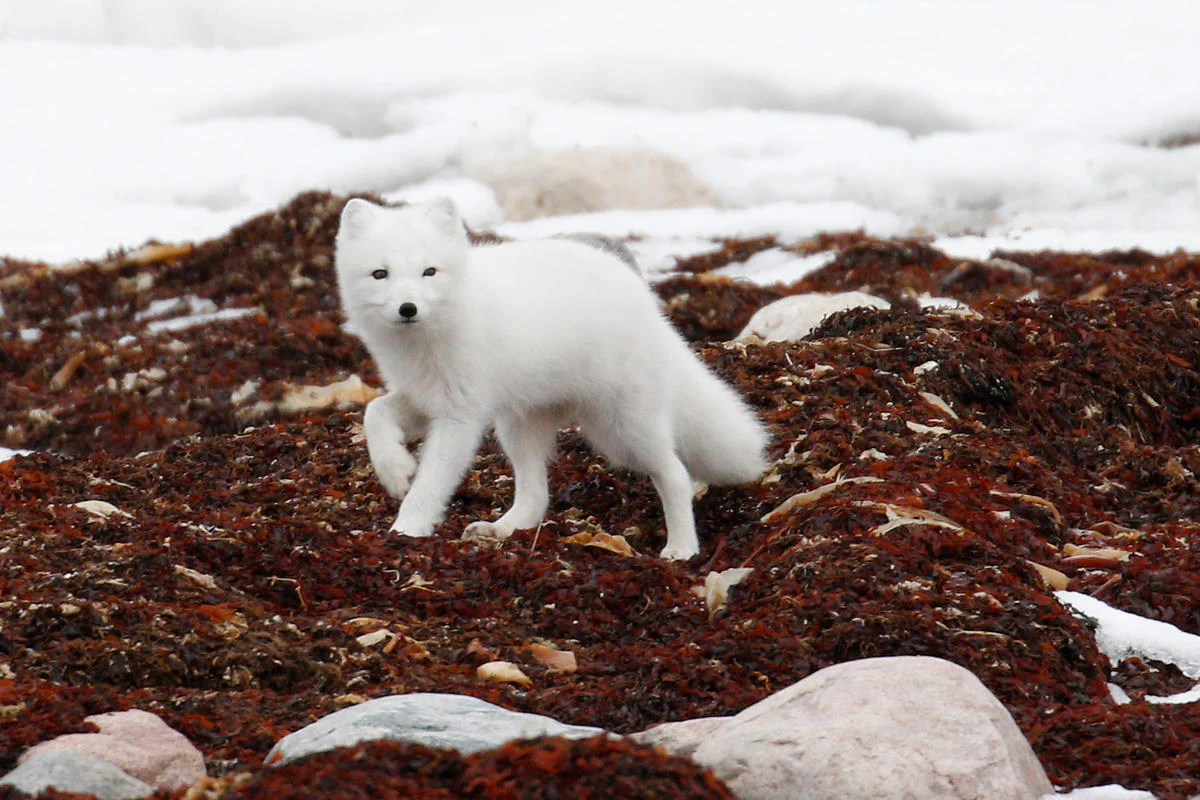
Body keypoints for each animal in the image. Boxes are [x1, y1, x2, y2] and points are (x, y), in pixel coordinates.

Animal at [335, 197, 768, 559]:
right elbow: (375, 412)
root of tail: (646, 300)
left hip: (622, 429)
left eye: (429, 271)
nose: (408, 308)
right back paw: (503, 527)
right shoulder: (423, 396)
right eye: (380, 274)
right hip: (519, 425)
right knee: (535, 496)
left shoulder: (460, 415)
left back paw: (681, 548)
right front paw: (395, 471)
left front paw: (406, 528)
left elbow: (430, 483)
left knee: (675, 474)